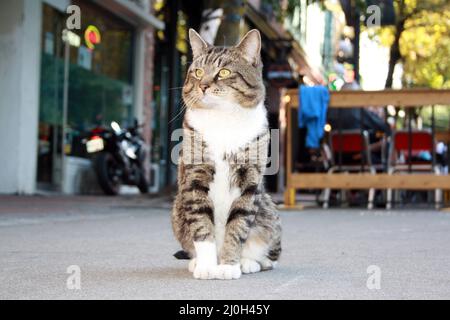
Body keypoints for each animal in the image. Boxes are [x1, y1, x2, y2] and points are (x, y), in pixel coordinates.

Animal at [172, 30, 282, 280]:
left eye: (224, 72)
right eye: (198, 72)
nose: (203, 85)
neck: (223, 118)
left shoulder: (249, 180)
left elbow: (238, 224)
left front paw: (230, 265)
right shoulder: (195, 177)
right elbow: (202, 224)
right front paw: (206, 266)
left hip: (268, 210)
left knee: (271, 256)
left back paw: (249, 262)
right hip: (177, 208)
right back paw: (197, 262)